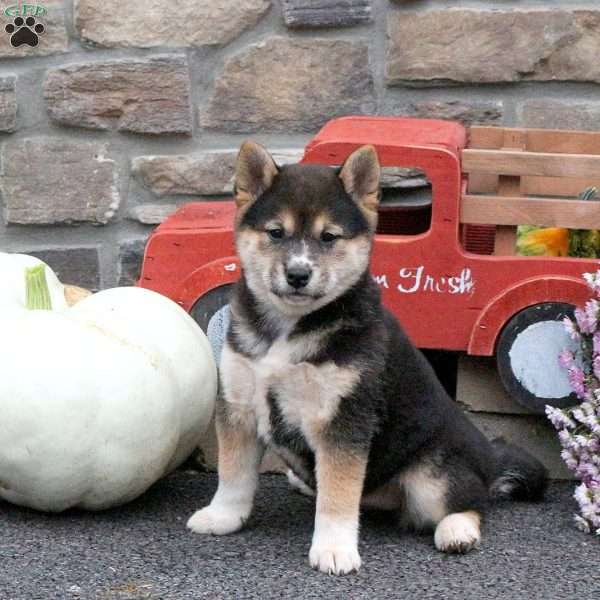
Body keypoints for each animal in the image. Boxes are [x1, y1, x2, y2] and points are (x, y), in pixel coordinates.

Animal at [189, 142, 548, 576]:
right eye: (276, 233)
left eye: (329, 237)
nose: (298, 275)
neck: (289, 327)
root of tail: (488, 460)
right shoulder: (239, 404)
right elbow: (233, 474)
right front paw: (223, 516)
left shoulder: (344, 418)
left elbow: (338, 496)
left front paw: (334, 548)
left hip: (433, 476)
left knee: (473, 501)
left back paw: (457, 530)